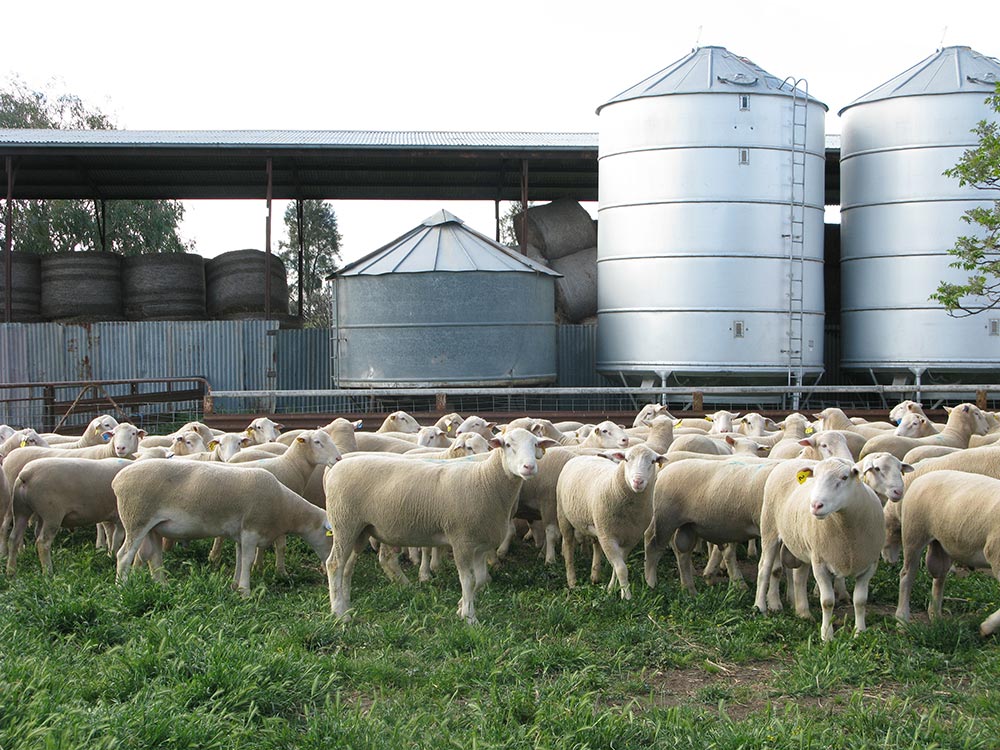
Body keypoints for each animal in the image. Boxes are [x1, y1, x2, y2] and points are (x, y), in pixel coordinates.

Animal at [324, 428, 560, 624]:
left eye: (535, 444)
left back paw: (346, 606)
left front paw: (461, 607)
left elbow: (480, 579)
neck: (486, 479)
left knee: (347, 567)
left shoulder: (480, 544)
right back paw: (339, 614)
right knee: (334, 564)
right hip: (344, 523)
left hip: (361, 529)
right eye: (508, 445)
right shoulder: (461, 540)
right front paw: (469, 618)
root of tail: (335, 468)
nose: (529, 467)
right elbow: (468, 580)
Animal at [556, 446, 664, 600]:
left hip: (597, 524)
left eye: (653, 461)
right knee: (568, 546)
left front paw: (612, 588)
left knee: (596, 545)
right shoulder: (608, 537)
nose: (638, 481)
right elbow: (621, 568)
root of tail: (580, 456)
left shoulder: (630, 538)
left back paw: (595, 576)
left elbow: (618, 565)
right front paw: (627, 596)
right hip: (563, 516)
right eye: (626, 459)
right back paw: (572, 581)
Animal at [896, 472, 1000, 636]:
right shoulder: (995, 554)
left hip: (942, 544)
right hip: (914, 533)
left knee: (939, 578)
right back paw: (902, 621)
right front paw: (987, 627)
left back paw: (936, 616)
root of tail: (922, 477)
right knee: (907, 575)